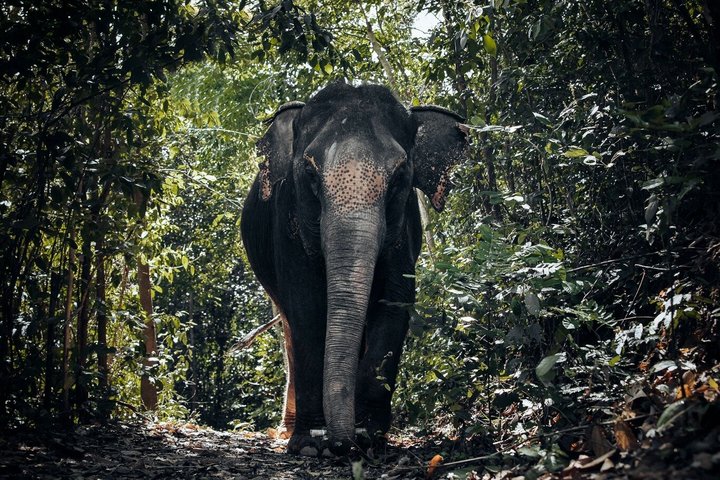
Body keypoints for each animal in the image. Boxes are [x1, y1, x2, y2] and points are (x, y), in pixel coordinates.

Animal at [241, 82, 468, 456]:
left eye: (399, 176)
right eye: (309, 173)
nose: (341, 445)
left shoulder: (403, 230)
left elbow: (394, 303)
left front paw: (368, 436)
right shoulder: (287, 223)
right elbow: (307, 309)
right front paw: (310, 445)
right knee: (289, 325)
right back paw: (288, 432)